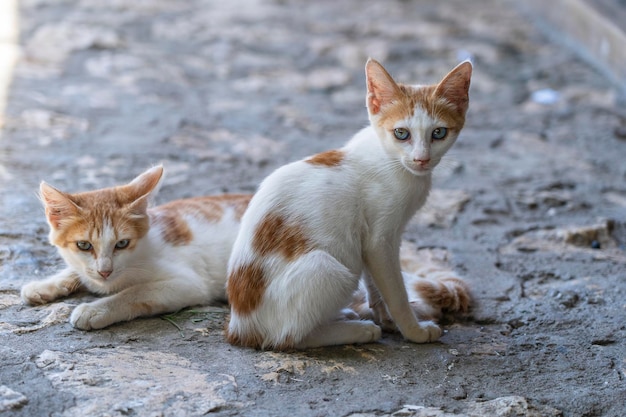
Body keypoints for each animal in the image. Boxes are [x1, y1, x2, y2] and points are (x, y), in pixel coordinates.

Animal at [22, 164, 251, 330]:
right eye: (84, 245)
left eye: (122, 243)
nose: (105, 271)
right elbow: (77, 271)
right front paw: (43, 286)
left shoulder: (189, 283)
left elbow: (136, 291)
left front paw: (95, 310)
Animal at [227, 58, 470, 350]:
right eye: (401, 133)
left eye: (439, 133)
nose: (421, 159)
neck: (392, 161)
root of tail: (240, 327)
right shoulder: (380, 242)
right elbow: (396, 292)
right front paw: (414, 330)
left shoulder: (370, 242)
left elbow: (375, 284)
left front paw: (386, 318)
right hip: (330, 270)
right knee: (288, 339)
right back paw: (357, 330)